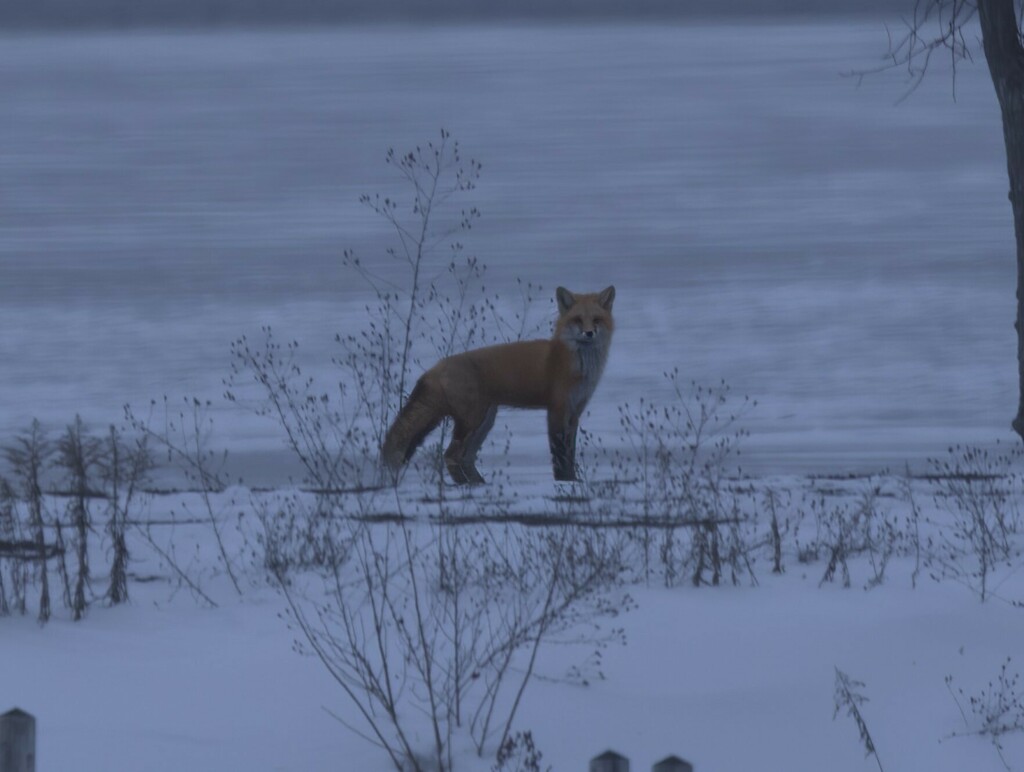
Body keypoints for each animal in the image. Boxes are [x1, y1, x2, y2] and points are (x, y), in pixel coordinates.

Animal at [380, 286, 610, 481]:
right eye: (578, 320)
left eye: (596, 320)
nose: (589, 333)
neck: (579, 365)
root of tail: (435, 367)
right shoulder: (557, 410)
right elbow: (560, 453)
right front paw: (564, 481)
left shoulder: (574, 412)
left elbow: (570, 453)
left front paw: (571, 478)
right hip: (472, 421)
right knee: (450, 455)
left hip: (484, 423)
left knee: (462, 456)